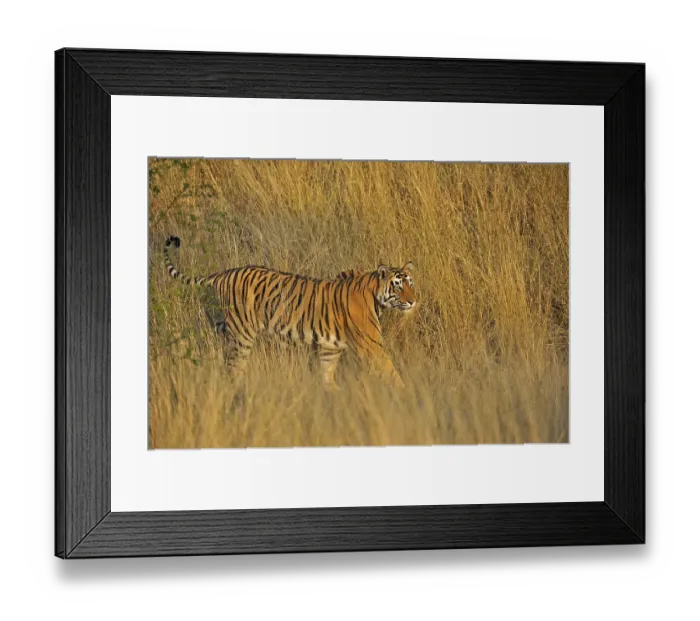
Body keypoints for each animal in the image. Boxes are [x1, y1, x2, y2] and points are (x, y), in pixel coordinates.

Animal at [163, 235, 416, 389]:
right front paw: (407, 395)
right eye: (398, 286)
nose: (413, 302)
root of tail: (224, 273)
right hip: (242, 336)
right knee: (234, 368)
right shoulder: (372, 347)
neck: (376, 296)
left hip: (226, 326)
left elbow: (326, 375)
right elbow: (391, 372)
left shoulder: (329, 348)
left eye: (411, 284)